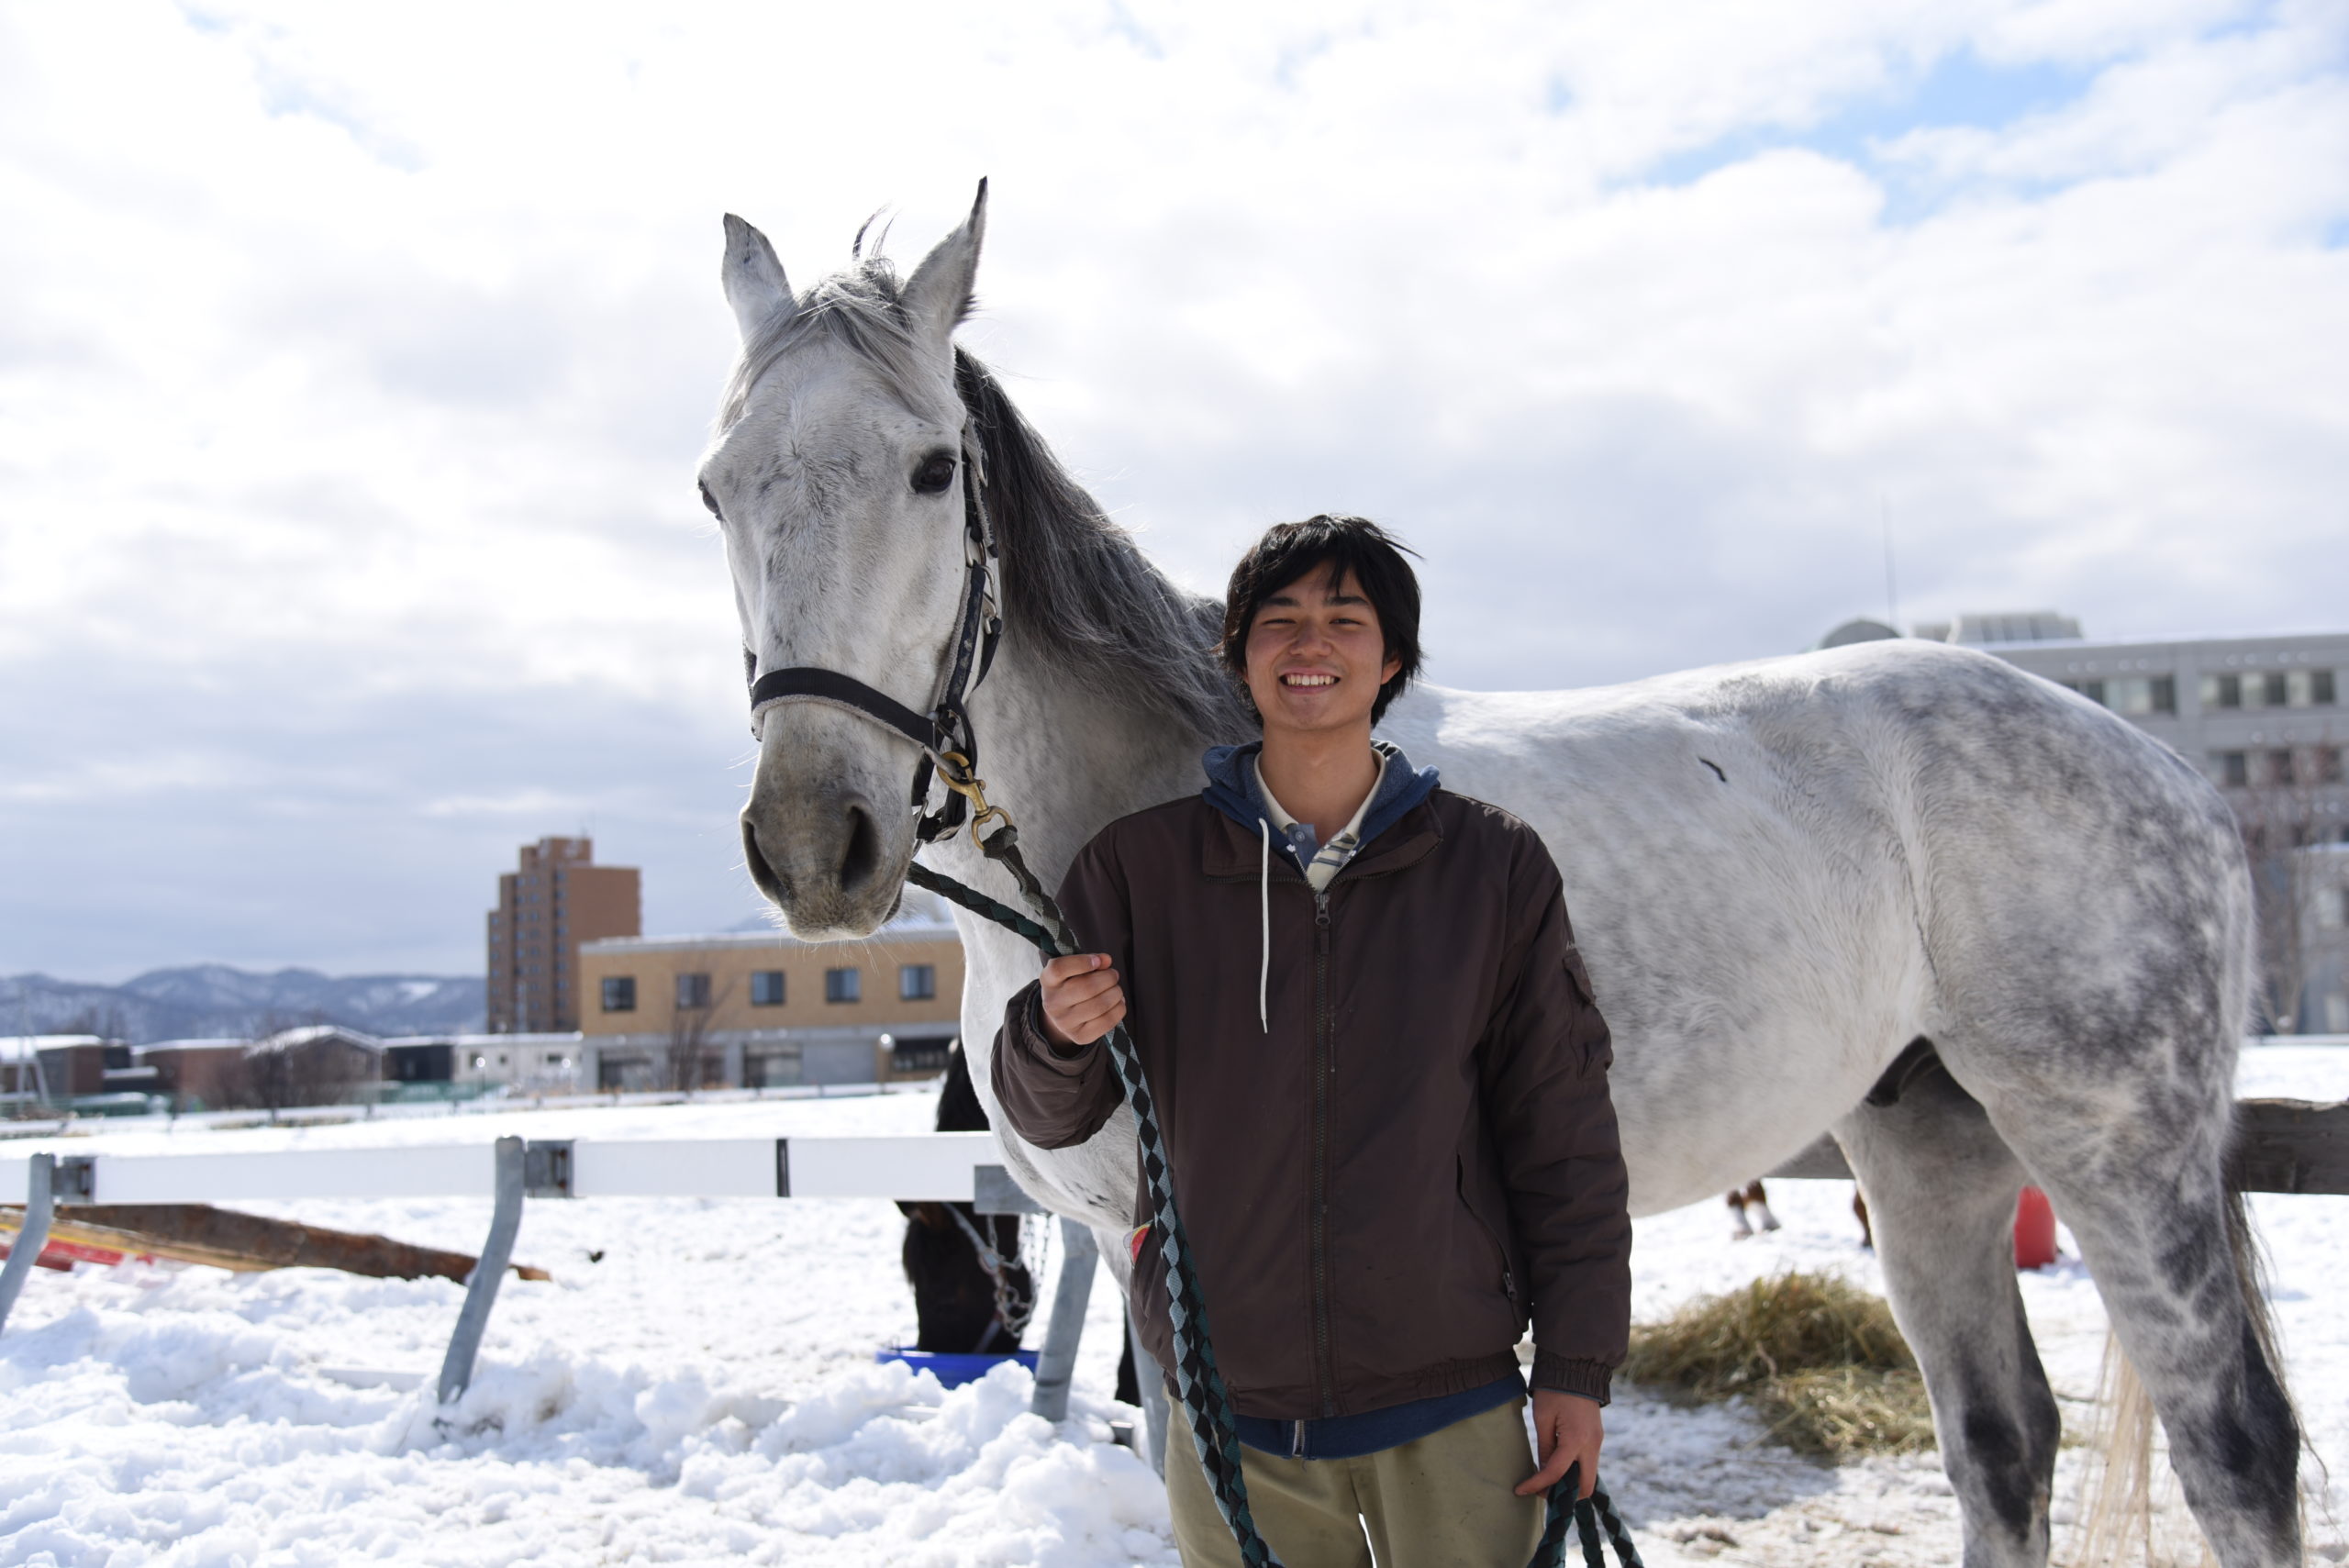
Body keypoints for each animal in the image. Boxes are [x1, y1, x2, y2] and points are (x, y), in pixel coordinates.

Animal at [690, 186, 2292, 1568]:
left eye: (932, 469)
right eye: (715, 490)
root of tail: (2165, 771)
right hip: (1928, 1142)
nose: (815, 842)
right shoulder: (1145, 1256)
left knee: (2236, 1453)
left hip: (2115, 1150)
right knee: (2002, 1442)